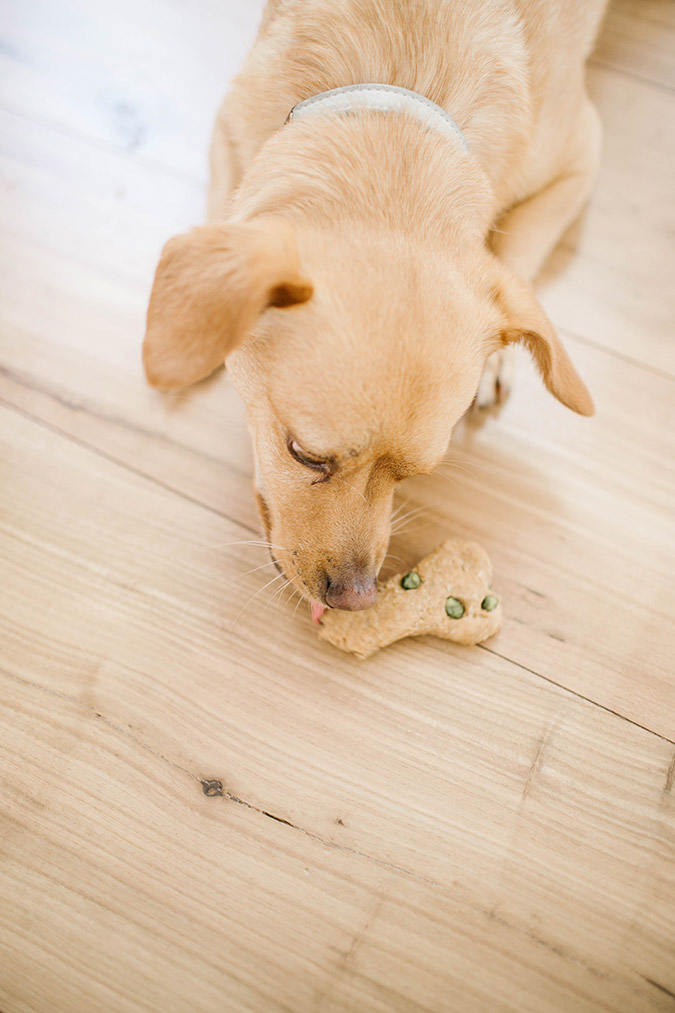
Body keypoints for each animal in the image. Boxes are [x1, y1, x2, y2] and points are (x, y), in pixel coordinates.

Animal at [140, 0, 604, 619]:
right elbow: (223, 209)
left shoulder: (581, 154)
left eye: (416, 474)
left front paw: (498, 361)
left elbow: (518, 253)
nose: (357, 600)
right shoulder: (229, 131)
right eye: (305, 455)